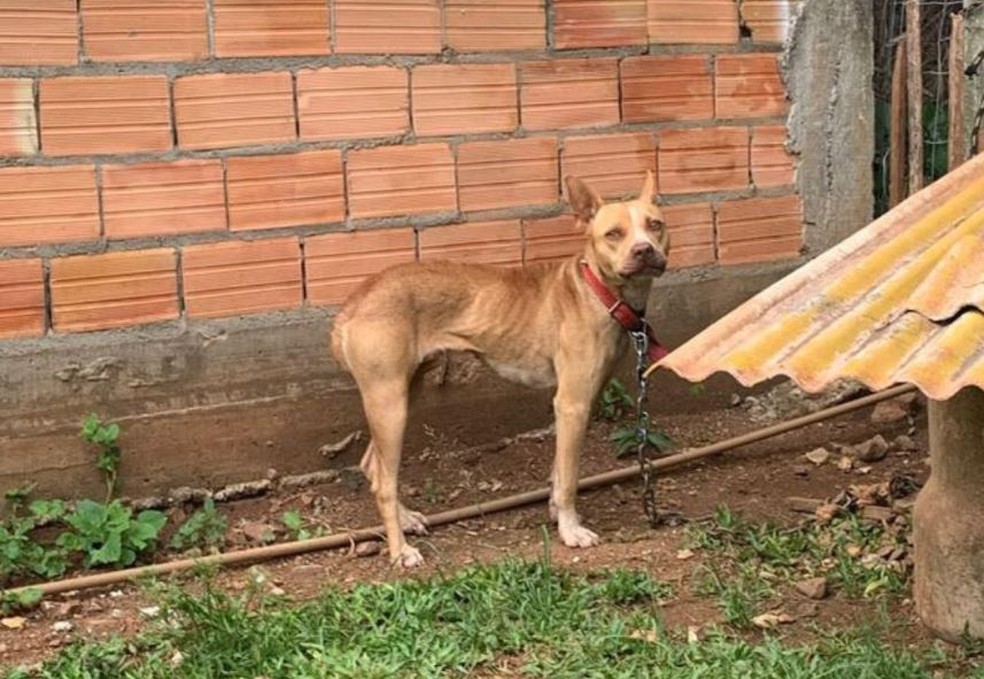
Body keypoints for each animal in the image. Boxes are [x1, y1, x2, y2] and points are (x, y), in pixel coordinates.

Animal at [330, 171, 668, 568]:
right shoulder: (571, 404)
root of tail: (354, 303)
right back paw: (401, 551)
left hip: (403, 393)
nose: (644, 250)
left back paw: (406, 519)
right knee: (384, 480)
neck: (597, 291)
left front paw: (557, 514)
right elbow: (569, 478)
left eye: (655, 225)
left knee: (374, 465)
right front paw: (571, 531)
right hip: (389, 403)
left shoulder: (583, 400)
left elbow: (558, 473)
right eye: (613, 233)